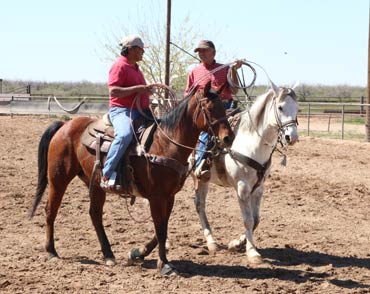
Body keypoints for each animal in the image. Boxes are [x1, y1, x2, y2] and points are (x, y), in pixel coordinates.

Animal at [28, 82, 233, 276]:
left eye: (224, 106)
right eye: (209, 108)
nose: (228, 138)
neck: (165, 143)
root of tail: (65, 126)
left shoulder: (169, 196)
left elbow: (163, 227)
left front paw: (138, 253)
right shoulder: (157, 197)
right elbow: (160, 227)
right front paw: (164, 264)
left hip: (95, 184)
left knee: (95, 214)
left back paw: (108, 255)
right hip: (58, 179)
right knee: (51, 210)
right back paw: (52, 251)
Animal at [192, 82, 300, 264]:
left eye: (297, 108)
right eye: (280, 107)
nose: (291, 137)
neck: (252, 142)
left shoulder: (259, 187)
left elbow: (256, 219)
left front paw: (236, 243)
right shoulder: (242, 187)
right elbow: (248, 220)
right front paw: (252, 252)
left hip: (203, 179)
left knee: (200, 205)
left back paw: (212, 242)